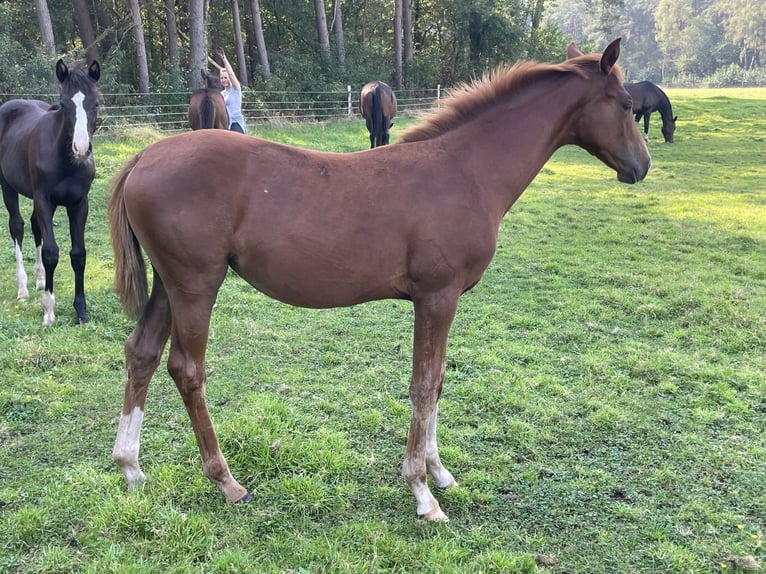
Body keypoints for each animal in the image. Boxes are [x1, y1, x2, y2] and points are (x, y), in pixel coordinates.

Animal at [0, 60, 101, 326]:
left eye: (96, 103)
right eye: (64, 104)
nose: (81, 149)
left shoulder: (79, 203)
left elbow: (78, 254)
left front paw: (81, 312)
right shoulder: (44, 200)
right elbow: (51, 252)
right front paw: (48, 311)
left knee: (35, 225)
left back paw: (41, 280)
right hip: (8, 186)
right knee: (17, 226)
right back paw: (23, 288)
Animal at [108, 38, 648, 524]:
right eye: (625, 104)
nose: (641, 166)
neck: (465, 172)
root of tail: (142, 158)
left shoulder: (441, 301)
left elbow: (439, 380)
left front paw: (440, 472)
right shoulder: (437, 297)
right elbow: (425, 385)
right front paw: (423, 492)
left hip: (169, 285)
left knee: (142, 353)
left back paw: (131, 467)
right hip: (196, 285)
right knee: (186, 368)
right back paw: (226, 481)